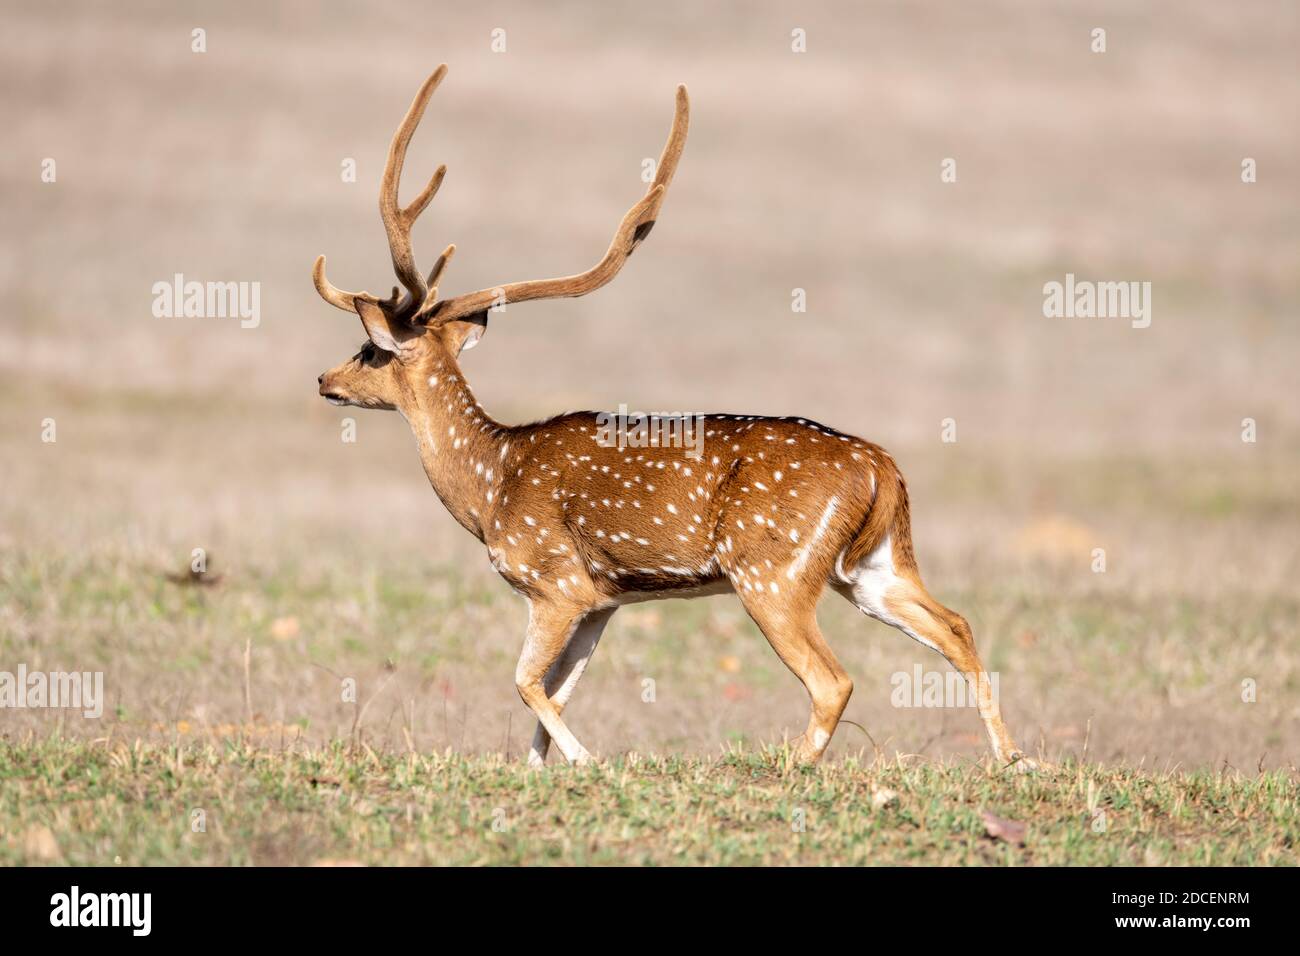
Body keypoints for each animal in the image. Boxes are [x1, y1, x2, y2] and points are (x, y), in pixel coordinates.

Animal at [315, 65, 1038, 771]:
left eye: (371, 349)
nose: (324, 380)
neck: (489, 487)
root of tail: (882, 469)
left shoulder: (555, 580)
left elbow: (525, 683)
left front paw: (588, 761)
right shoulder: (603, 598)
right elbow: (556, 691)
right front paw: (539, 768)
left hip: (772, 572)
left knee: (834, 679)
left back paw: (792, 767)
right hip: (873, 567)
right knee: (957, 625)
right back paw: (1012, 759)